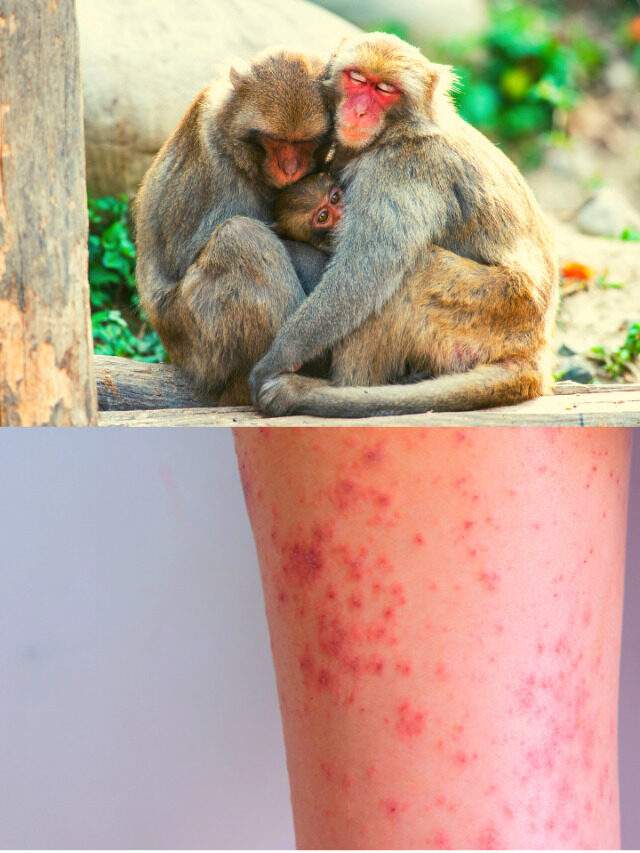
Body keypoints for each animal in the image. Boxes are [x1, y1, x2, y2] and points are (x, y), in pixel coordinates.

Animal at [134, 50, 333, 405]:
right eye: (275, 140)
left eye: (304, 142)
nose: (289, 168)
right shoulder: (217, 169)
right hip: (198, 343)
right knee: (240, 237)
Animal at [249, 32, 558, 417]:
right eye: (357, 78)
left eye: (385, 89)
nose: (359, 111)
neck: (396, 132)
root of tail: (535, 351)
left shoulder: (402, 171)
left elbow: (364, 275)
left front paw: (278, 357)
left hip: (495, 311)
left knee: (410, 275)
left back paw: (339, 388)